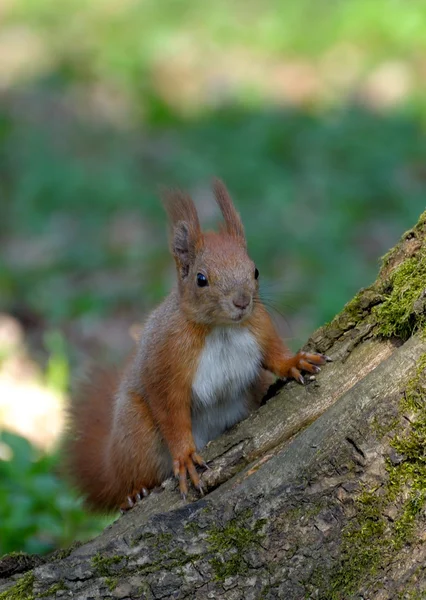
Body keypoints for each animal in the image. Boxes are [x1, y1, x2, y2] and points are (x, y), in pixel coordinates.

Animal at [65, 178, 326, 510]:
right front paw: (185, 456)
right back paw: (134, 493)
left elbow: (274, 355)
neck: (220, 328)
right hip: (136, 432)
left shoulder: (260, 327)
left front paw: (295, 361)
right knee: (130, 475)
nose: (242, 302)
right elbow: (171, 412)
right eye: (201, 279)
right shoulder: (166, 362)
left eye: (254, 270)